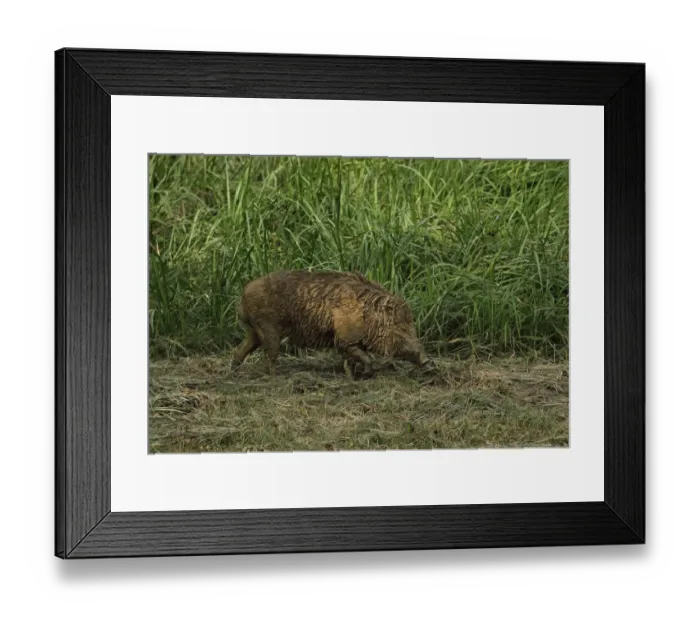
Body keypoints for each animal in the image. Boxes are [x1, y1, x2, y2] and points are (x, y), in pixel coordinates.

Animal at [230, 269, 431, 378]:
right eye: (400, 327)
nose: (427, 360)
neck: (368, 316)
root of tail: (243, 294)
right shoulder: (344, 339)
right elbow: (366, 357)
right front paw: (366, 374)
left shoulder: (349, 342)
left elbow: (354, 359)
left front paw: (352, 375)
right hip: (268, 327)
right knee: (270, 354)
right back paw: (274, 376)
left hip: (254, 330)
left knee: (241, 349)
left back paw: (234, 370)